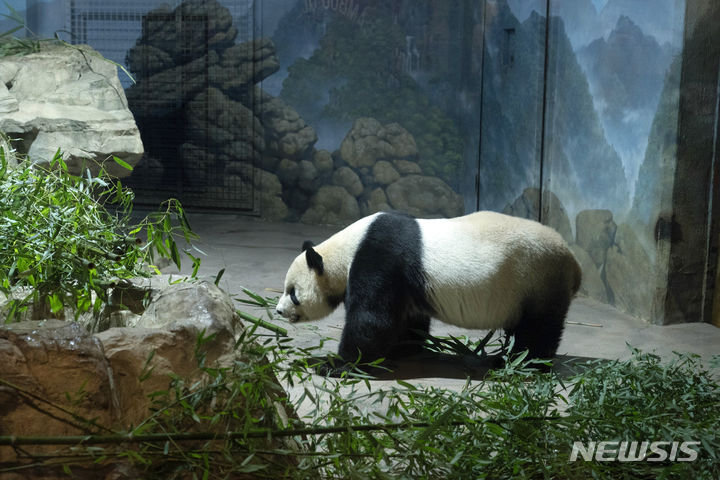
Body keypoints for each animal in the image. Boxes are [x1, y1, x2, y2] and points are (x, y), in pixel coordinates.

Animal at [272, 211, 584, 372]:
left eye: (293, 292)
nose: (279, 310)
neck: (345, 249)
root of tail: (572, 261)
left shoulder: (378, 259)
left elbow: (372, 320)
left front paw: (336, 364)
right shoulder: (407, 282)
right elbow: (406, 319)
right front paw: (401, 350)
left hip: (535, 275)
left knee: (538, 329)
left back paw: (523, 362)